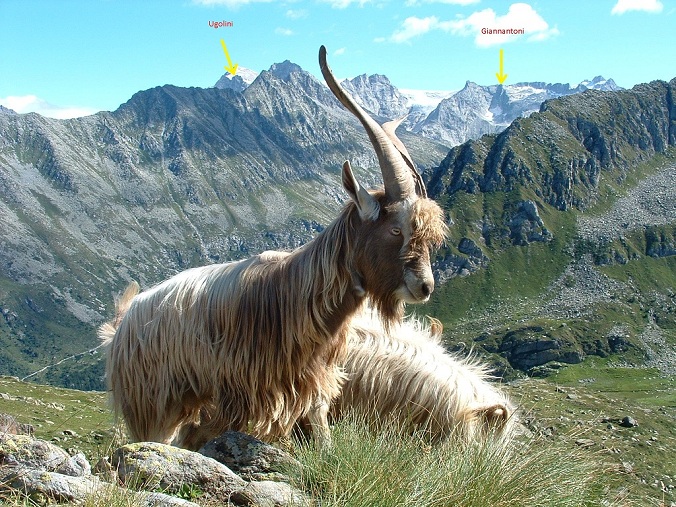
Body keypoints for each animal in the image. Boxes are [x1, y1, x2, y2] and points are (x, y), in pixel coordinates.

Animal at [99, 46, 448, 452]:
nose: (425, 287)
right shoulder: (238, 391)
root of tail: (122, 322)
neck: (292, 290)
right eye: (396, 229)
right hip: (155, 400)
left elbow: (321, 432)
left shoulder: (312, 382)